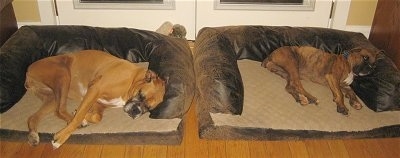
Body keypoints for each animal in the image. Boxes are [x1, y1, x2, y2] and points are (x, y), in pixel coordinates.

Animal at [25, 50, 166, 149]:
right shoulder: (95, 89)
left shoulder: (99, 102)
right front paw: (60, 138)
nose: (136, 111)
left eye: (148, 108)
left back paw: (33, 135)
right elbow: (79, 116)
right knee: (59, 110)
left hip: (52, 97)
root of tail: (28, 71)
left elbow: (97, 117)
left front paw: (84, 116)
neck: (133, 80)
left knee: (35, 117)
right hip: (63, 75)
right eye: (141, 95)